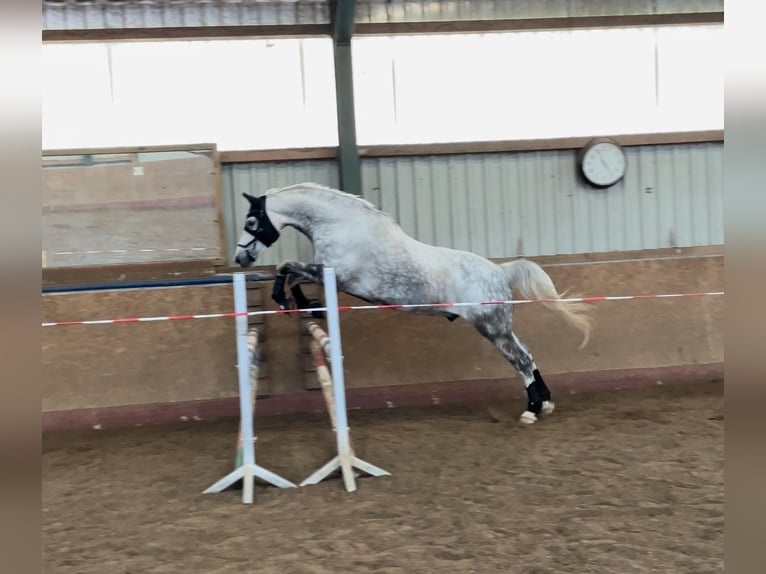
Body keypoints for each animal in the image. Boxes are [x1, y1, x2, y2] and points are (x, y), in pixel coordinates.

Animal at [234, 182, 592, 426]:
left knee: (520, 360)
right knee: (527, 354)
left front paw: (290, 301)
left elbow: (288, 267)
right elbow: (291, 274)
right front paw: (303, 304)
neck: (343, 228)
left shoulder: (334, 275)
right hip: (501, 326)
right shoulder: (327, 275)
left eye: (252, 223)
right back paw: (545, 404)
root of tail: (500, 271)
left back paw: (531, 411)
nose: (240, 259)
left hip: (492, 328)